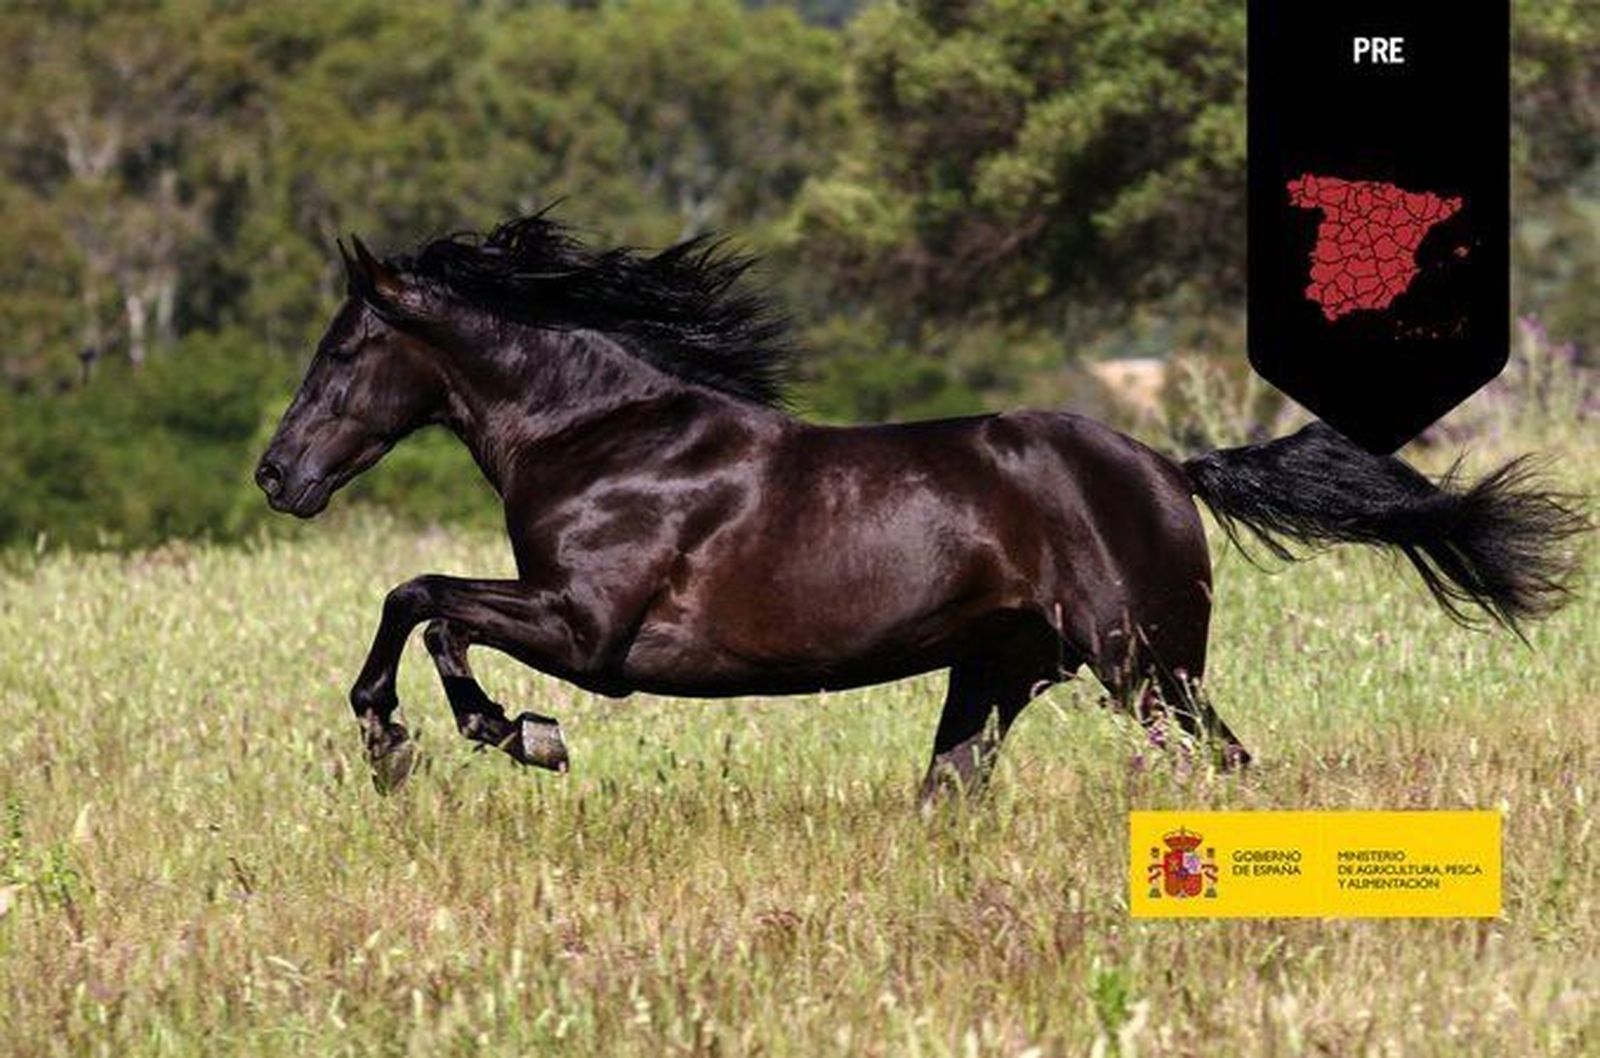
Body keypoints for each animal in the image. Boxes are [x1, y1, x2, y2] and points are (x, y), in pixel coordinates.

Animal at [255, 213, 1584, 798]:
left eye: (340, 349)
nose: (278, 474)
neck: (603, 437)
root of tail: (1168, 466)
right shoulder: (565, 615)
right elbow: (426, 602)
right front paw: (446, 736)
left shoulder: (590, 631)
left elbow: (424, 602)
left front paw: (476, 735)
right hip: (997, 674)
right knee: (953, 787)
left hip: (1146, 668)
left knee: (1225, 763)